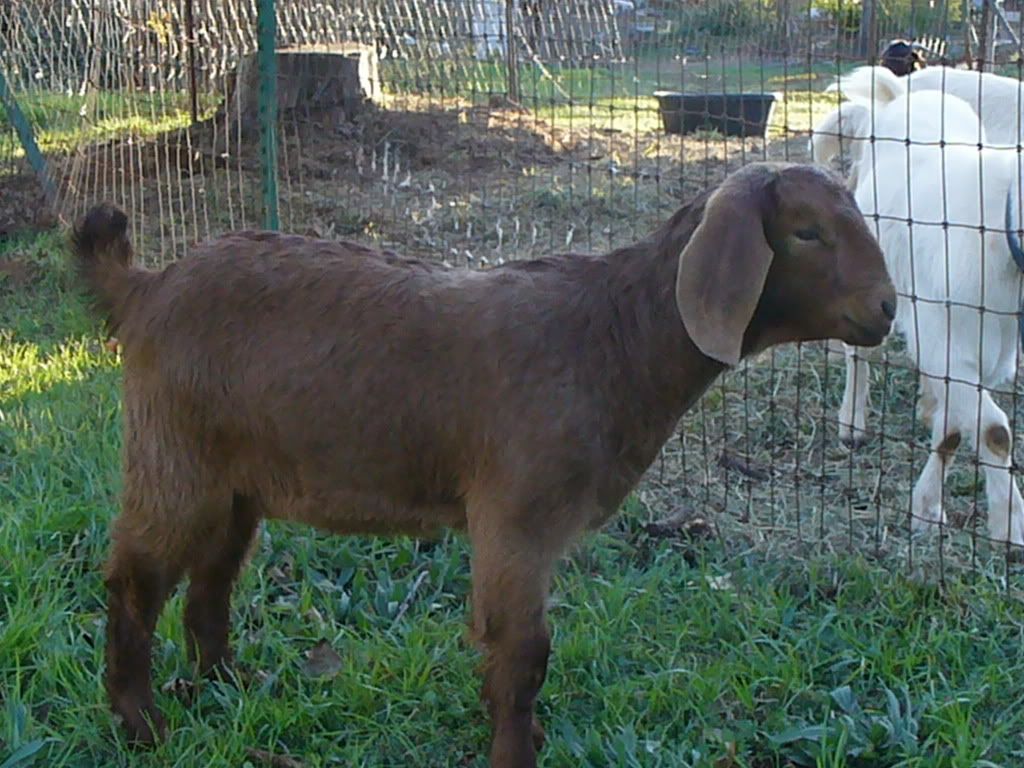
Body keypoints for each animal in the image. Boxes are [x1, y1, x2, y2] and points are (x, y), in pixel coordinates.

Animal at [73, 162, 894, 767]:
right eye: (807, 231)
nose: (887, 309)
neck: (618, 336)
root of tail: (145, 288)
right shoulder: (516, 515)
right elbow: (523, 651)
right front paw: (515, 753)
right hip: (173, 454)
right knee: (135, 580)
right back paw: (140, 723)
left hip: (236, 476)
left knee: (212, 577)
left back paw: (227, 680)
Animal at [811, 65, 1024, 547]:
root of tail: (898, 95)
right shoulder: (944, 338)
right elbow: (994, 431)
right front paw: (1010, 526)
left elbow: (953, 431)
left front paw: (925, 509)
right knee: (859, 352)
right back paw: (852, 425)